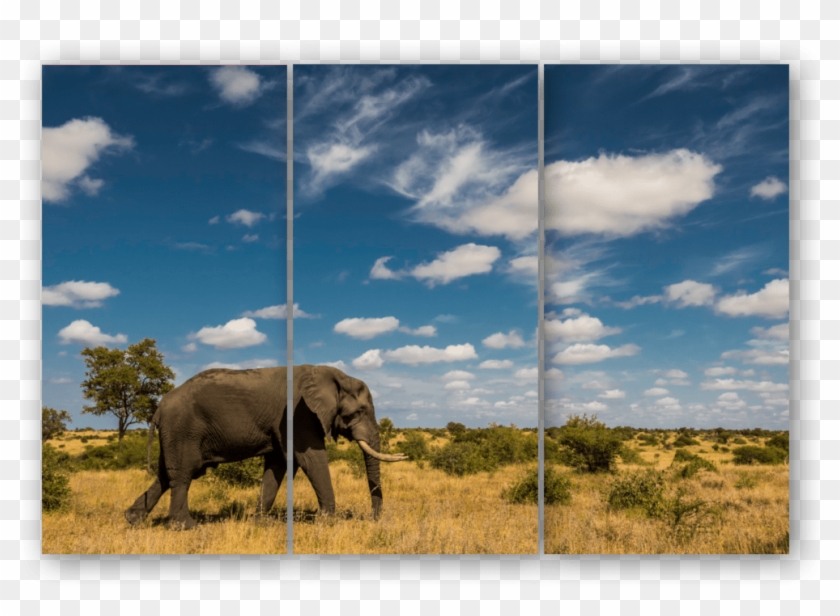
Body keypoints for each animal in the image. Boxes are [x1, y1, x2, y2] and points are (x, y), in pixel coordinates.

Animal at [124, 364, 406, 529]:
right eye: (359, 412)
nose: (374, 520)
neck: (335, 376)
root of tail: (159, 407)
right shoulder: (300, 413)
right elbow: (310, 459)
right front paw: (326, 523)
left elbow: (279, 465)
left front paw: (260, 523)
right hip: (183, 429)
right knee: (183, 475)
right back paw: (187, 527)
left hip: (174, 433)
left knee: (165, 475)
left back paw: (133, 520)